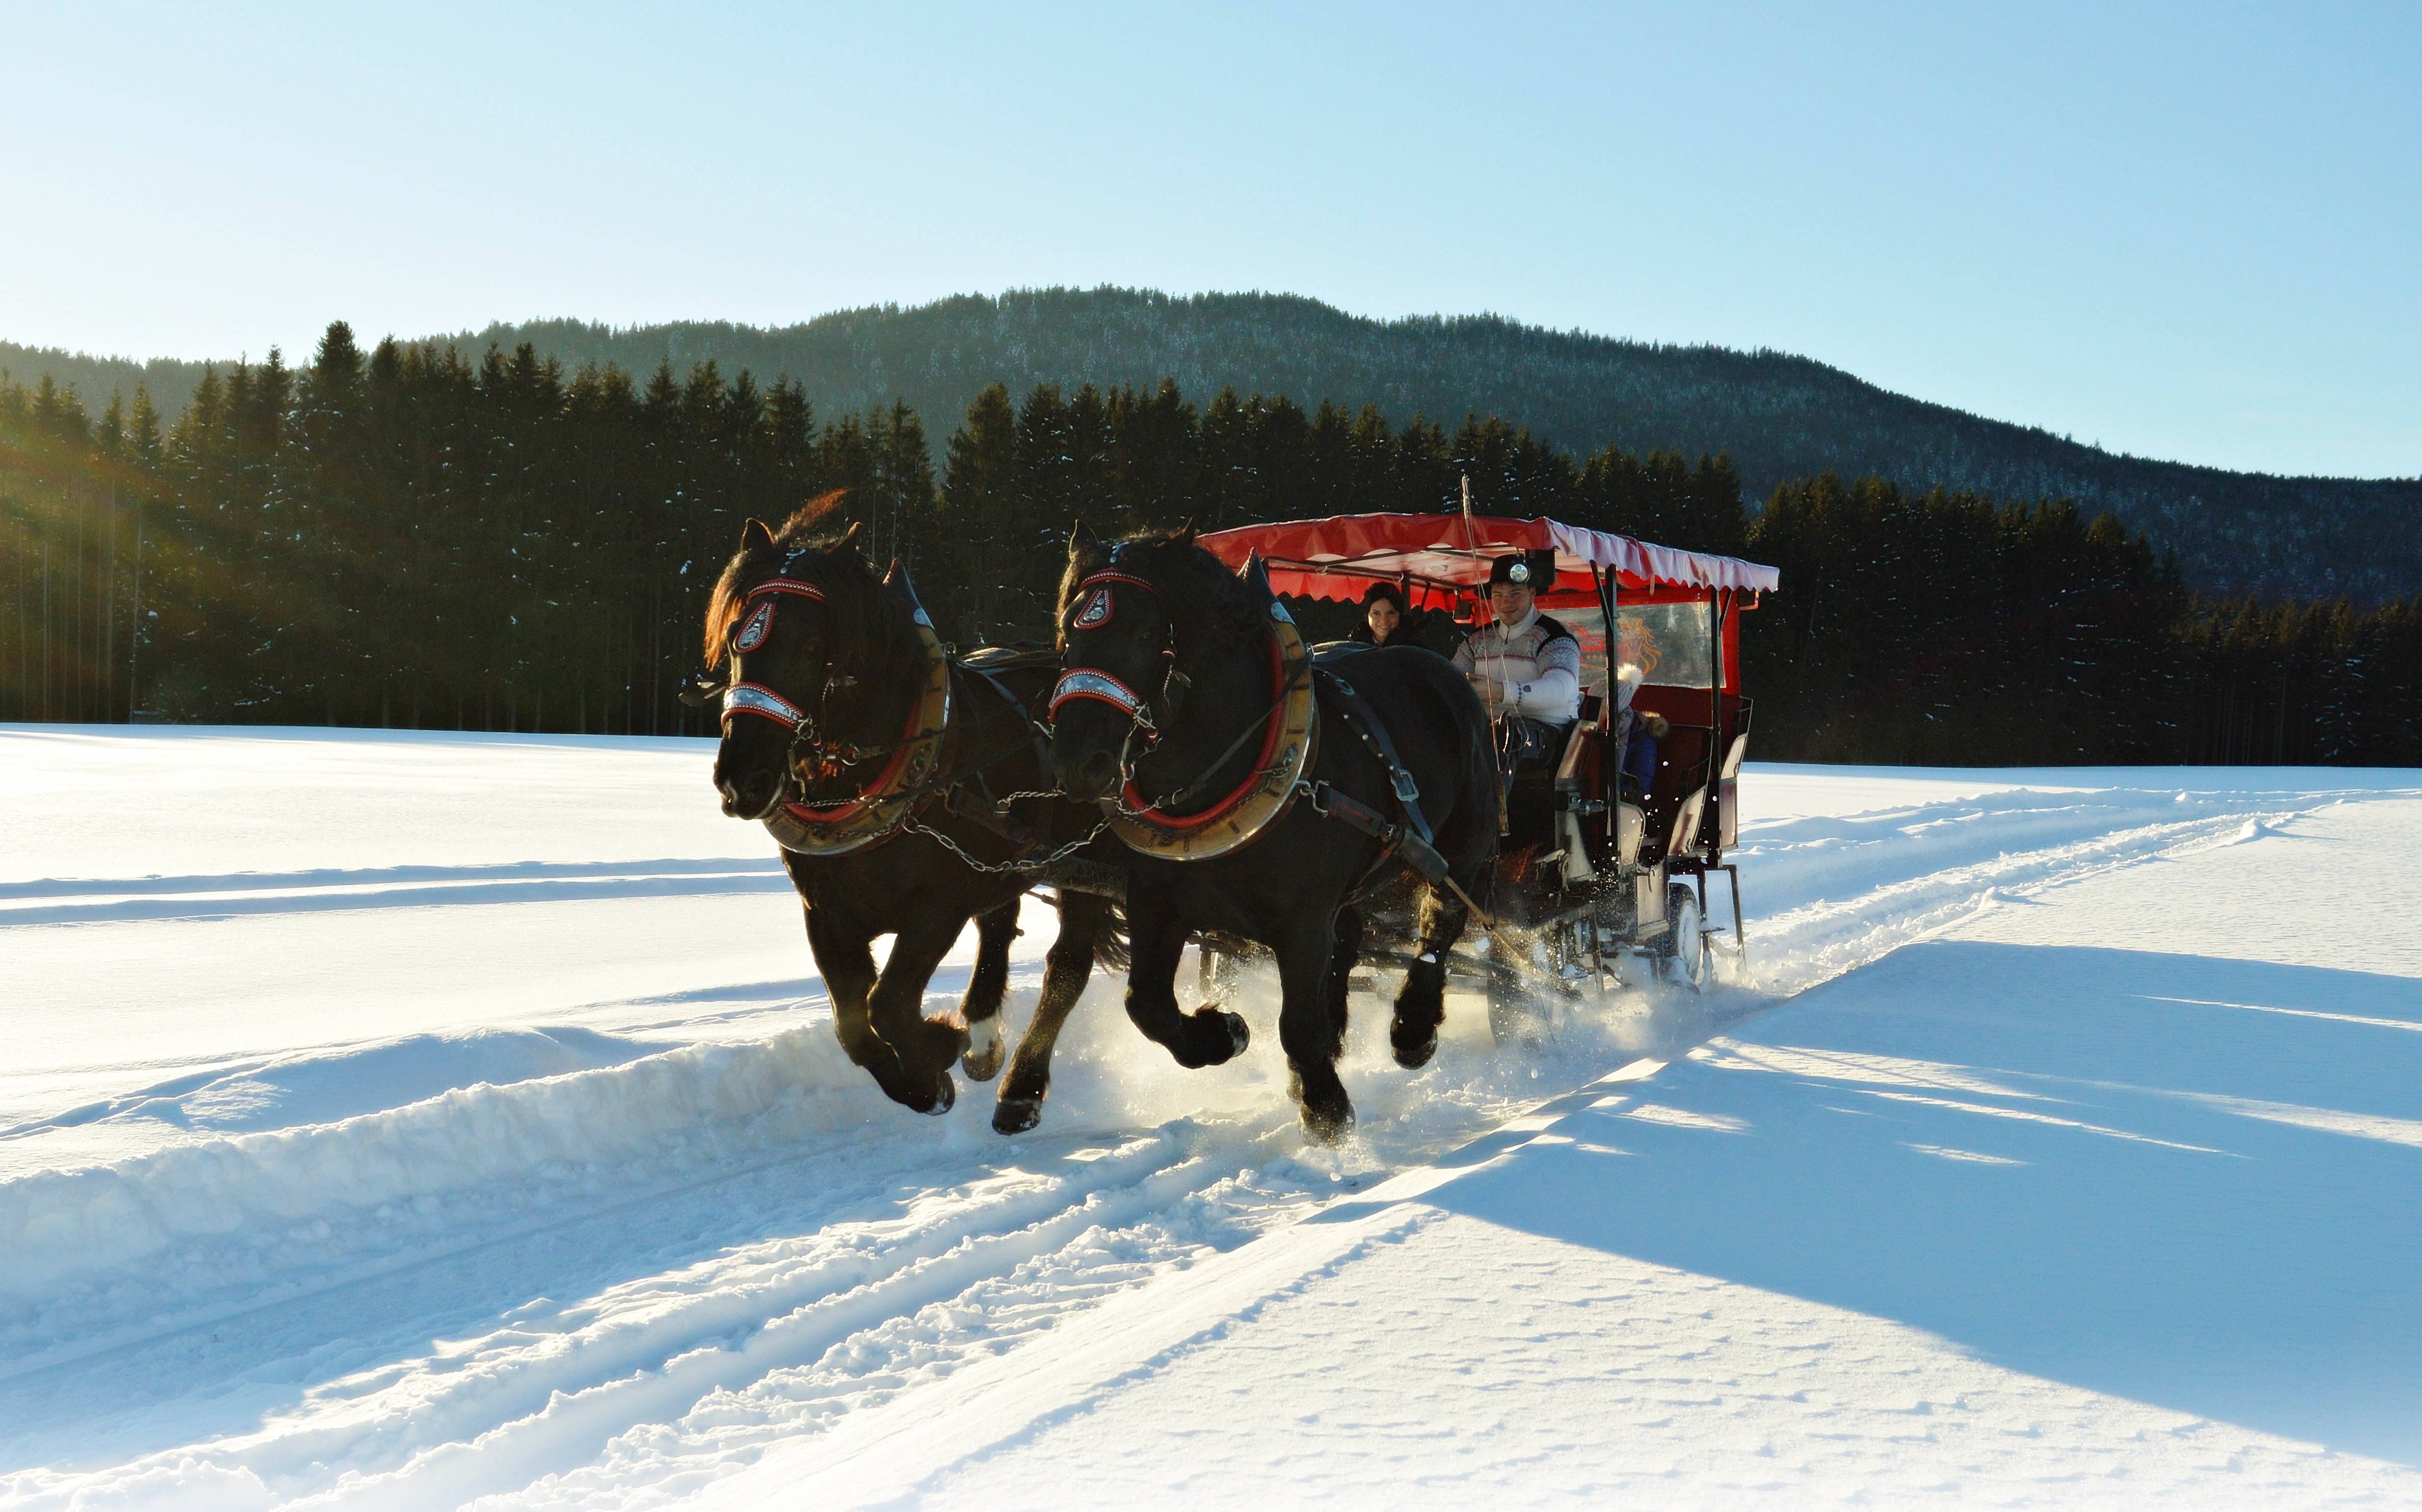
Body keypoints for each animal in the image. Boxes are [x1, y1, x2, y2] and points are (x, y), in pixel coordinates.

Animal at [697, 509, 1119, 1134]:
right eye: (735, 639)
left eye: (811, 641)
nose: (740, 779)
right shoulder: (826, 913)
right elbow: (852, 1025)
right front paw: (929, 1076)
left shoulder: (936, 907)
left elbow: (889, 1004)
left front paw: (935, 1052)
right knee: (999, 926)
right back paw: (983, 1040)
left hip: (1085, 862)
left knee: (1066, 966)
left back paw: (1021, 1090)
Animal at [1056, 525, 1502, 1138]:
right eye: (1067, 634)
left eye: (1146, 633)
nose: (1079, 761)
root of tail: (1445, 672)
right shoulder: (1156, 902)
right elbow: (1145, 1004)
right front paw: (1224, 1034)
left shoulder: (1301, 921)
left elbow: (1297, 1022)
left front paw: (1326, 1106)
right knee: (1354, 936)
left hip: (1462, 845)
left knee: (1443, 920)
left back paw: (1412, 1030)